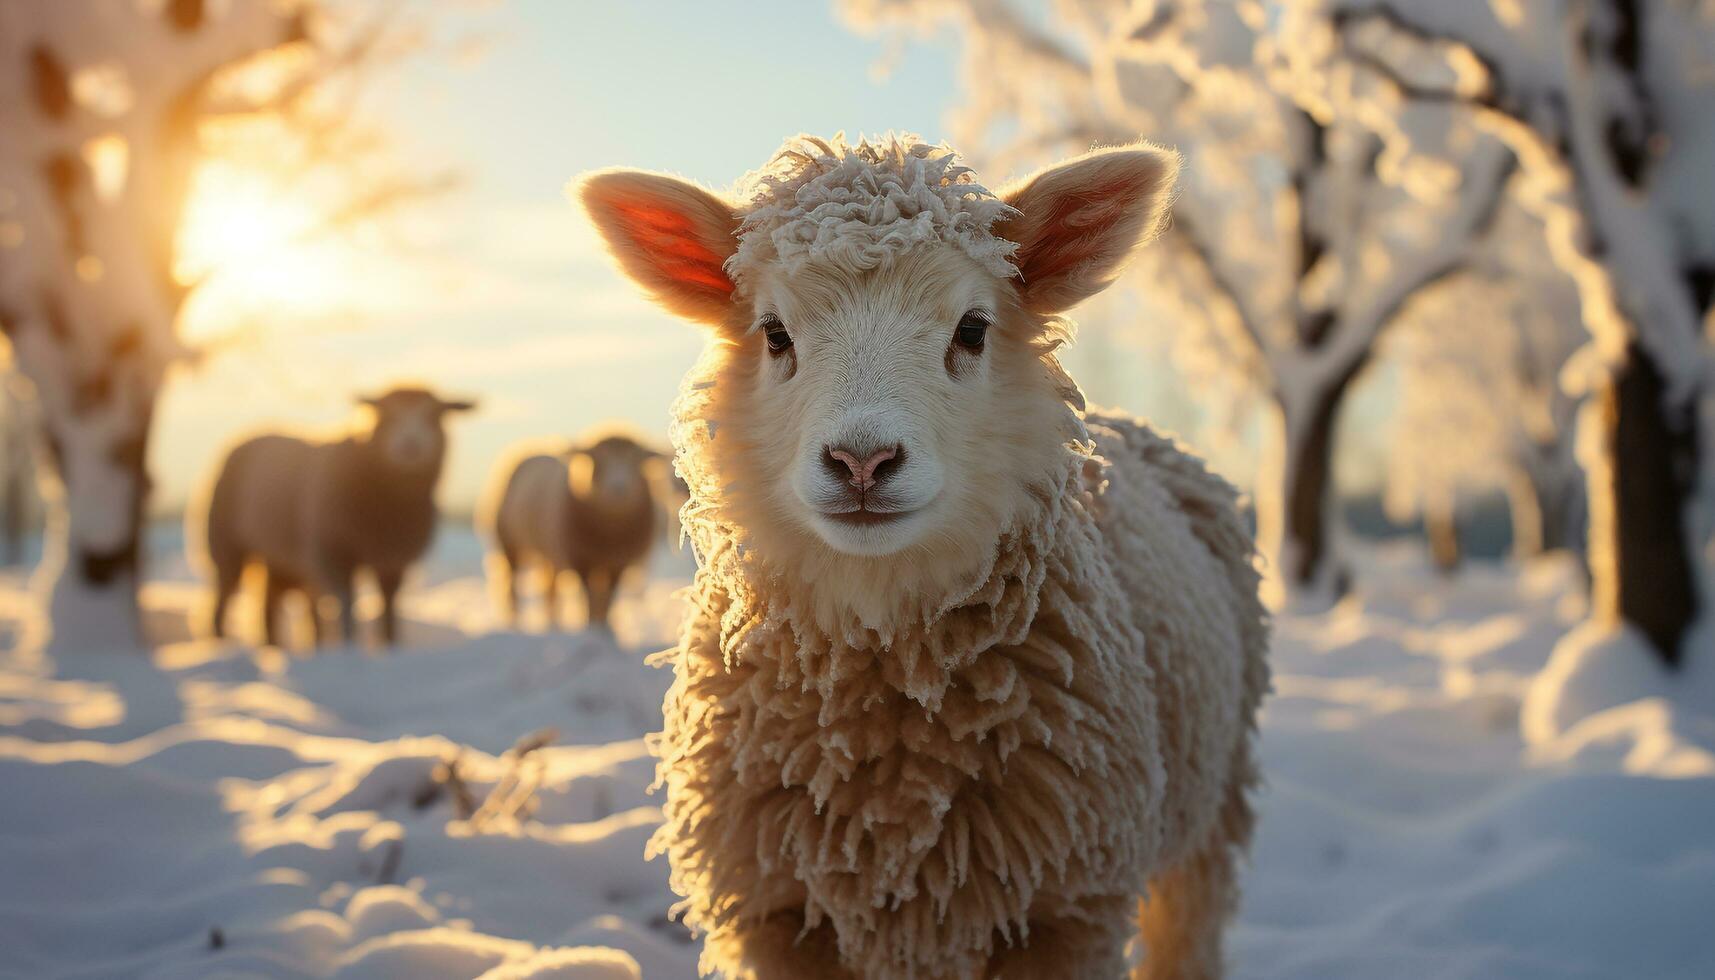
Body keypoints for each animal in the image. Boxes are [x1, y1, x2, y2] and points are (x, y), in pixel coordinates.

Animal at [196, 386, 476, 652]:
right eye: (387, 415)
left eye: (434, 415)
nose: (410, 445)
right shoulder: (335, 553)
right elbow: (346, 604)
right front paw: (348, 646)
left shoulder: (392, 559)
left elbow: (388, 607)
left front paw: (390, 645)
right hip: (226, 546)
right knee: (222, 602)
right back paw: (221, 645)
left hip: (278, 559)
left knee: (270, 606)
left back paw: (273, 647)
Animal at [490, 432, 668, 631]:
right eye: (599, 459)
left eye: (636, 460)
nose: (618, 488)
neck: (609, 534)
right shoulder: (580, 558)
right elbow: (588, 595)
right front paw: (591, 625)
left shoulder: (619, 561)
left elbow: (608, 597)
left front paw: (605, 627)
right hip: (508, 543)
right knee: (512, 585)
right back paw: (514, 622)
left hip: (548, 554)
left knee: (549, 589)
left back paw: (553, 623)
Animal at [583, 132, 1269, 980]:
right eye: (774, 333)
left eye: (971, 329)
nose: (861, 462)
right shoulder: (777, 913)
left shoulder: (1064, 911)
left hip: (1212, 813)